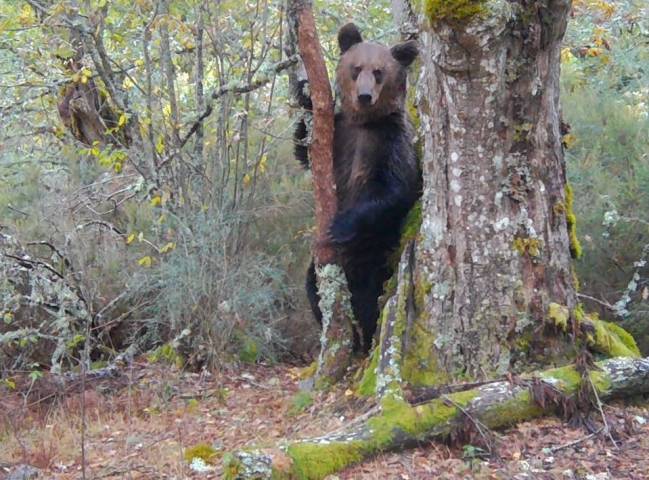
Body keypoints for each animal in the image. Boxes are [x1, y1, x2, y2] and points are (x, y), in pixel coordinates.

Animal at [294, 22, 420, 352]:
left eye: (379, 72)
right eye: (356, 68)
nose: (364, 96)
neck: (364, 123)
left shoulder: (391, 142)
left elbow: (395, 190)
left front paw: (339, 225)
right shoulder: (339, 135)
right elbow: (303, 151)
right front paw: (305, 94)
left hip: (376, 253)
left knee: (369, 298)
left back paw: (363, 342)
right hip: (322, 268)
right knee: (312, 287)